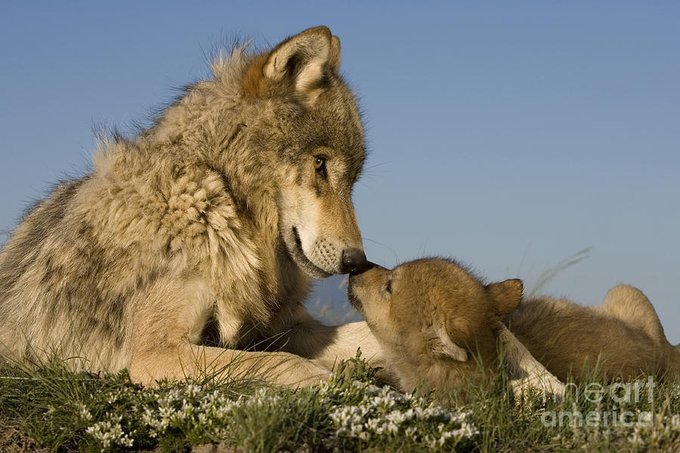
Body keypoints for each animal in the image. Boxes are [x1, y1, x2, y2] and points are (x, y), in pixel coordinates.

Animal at [0, 24, 382, 384]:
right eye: (320, 163)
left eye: (353, 180)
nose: (356, 261)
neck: (220, 195)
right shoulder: (157, 353)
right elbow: (279, 362)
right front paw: (326, 379)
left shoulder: (283, 325)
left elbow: (368, 335)